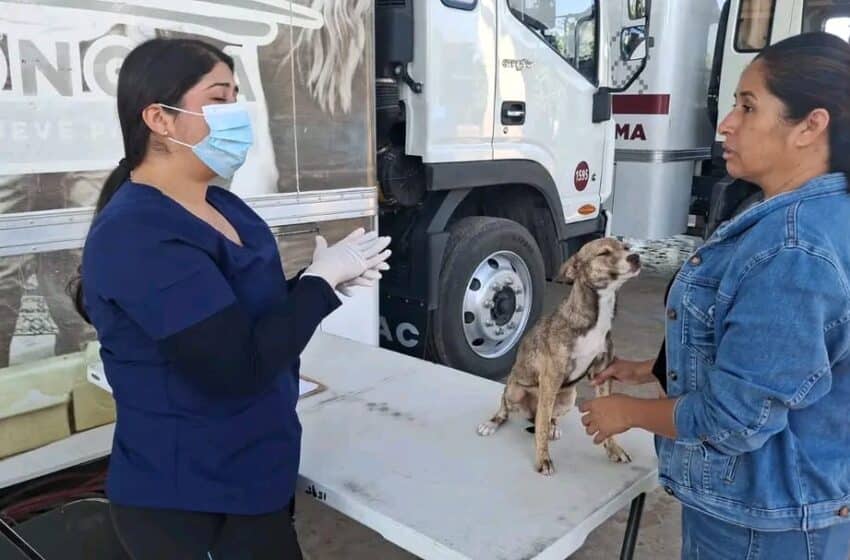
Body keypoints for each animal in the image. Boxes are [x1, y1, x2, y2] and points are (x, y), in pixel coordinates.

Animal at [476, 238, 641, 475]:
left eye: (626, 248)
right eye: (603, 253)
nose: (636, 257)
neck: (594, 316)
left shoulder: (602, 374)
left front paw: (614, 449)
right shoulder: (551, 377)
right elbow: (541, 427)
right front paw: (543, 459)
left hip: (568, 397)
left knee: (547, 417)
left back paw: (554, 427)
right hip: (514, 390)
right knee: (509, 409)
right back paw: (492, 422)